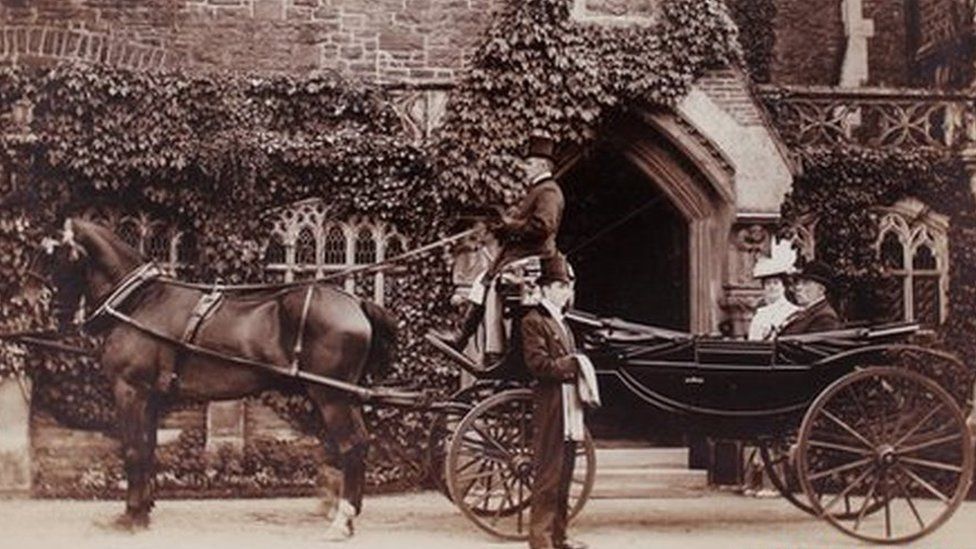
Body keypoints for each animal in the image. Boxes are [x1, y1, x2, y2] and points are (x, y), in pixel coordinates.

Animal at [38, 216, 396, 536]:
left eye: (57, 256)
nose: (53, 313)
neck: (139, 301)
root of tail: (356, 302)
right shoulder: (151, 396)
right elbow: (148, 447)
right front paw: (144, 510)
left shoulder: (130, 390)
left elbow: (133, 449)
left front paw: (132, 517)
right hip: (342, 395)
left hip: (332, 396)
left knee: (352, 445)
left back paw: (342, 520)